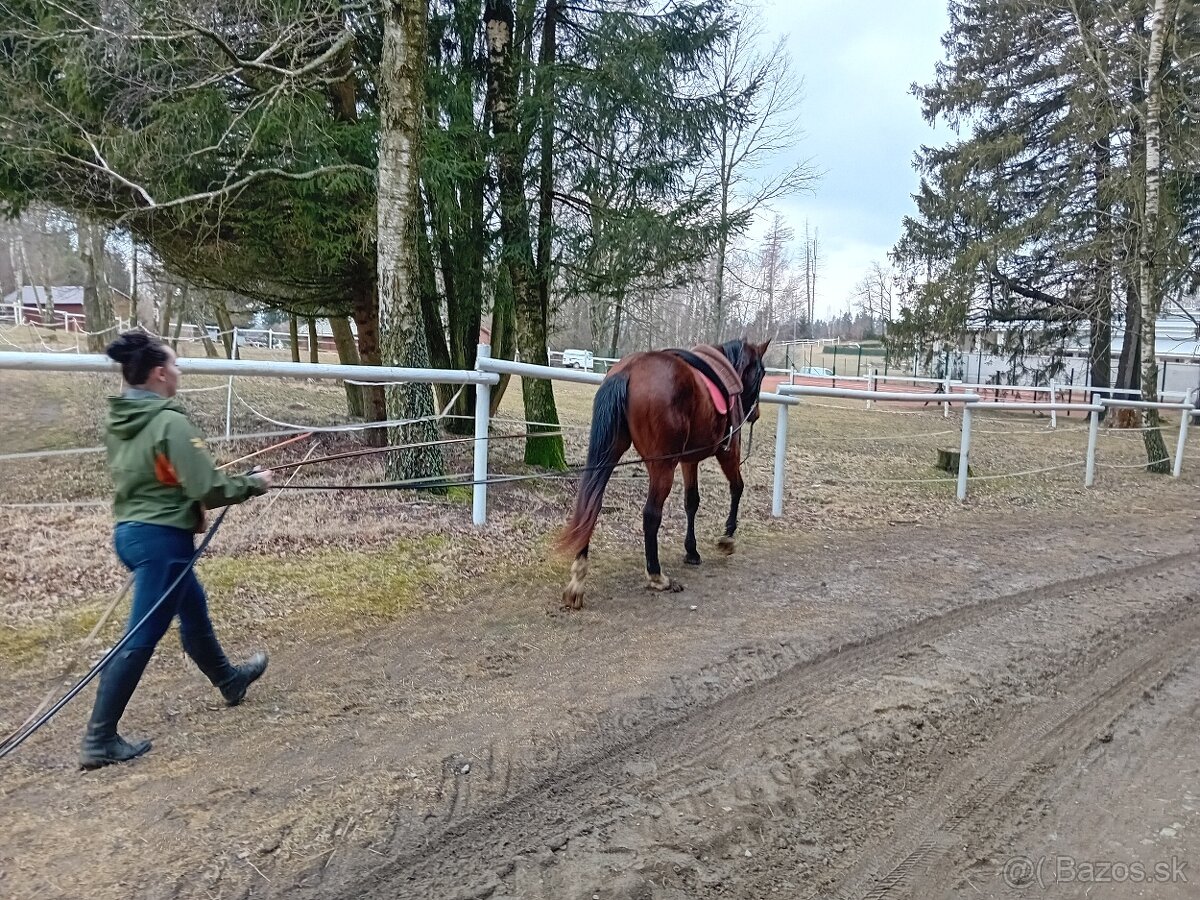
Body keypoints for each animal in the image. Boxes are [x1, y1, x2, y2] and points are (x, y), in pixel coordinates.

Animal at [552, 340, 768, 614]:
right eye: (762, 373)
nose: (756, 414)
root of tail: (629, 370)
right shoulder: (728, 451)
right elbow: (737, 487)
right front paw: (727, 538)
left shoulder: (689, 460)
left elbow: (691, 502)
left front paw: (692, 551)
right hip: (663, 466)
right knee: (651, 514)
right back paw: (656, 574)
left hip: (609, 451)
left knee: (591, 505)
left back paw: (577, 581)